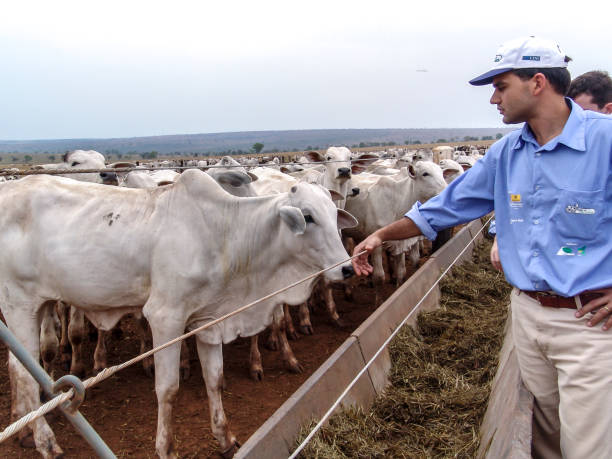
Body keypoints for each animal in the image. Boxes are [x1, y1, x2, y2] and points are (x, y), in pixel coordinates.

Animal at [0, 171, 356, 458]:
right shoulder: (165, 317)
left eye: (332, 213)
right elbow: (168, 388)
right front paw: (166, 448)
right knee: (24, 372)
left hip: (39, 305)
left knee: (20, 366)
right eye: (308, 216)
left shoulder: (209, 320)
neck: (225, 234)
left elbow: (215, 379)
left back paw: (25, 432)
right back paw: (46, 442)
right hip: (19, 305)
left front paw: (225, 438)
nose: (348, 268)